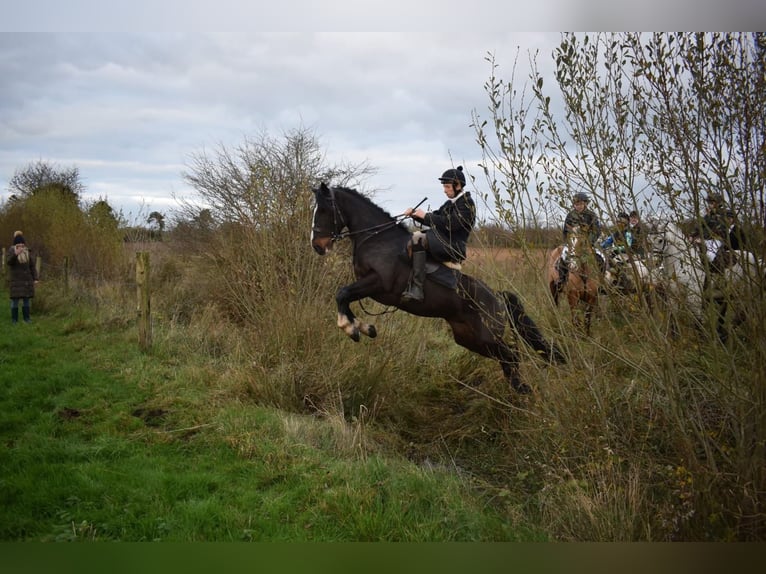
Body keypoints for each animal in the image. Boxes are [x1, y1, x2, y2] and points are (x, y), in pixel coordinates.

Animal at [310, 183, 566, 395]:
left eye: (323, 210)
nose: (318, 246)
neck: (376, 238)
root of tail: (497, 296)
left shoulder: (378, 284)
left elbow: (342, 294)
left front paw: (352, 329)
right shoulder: (366, 286)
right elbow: (345, 299)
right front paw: (364, 328)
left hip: (487, 335)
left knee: (512, 356)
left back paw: (522, 392)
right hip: (470, 339)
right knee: (509, 357)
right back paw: (521, 392)